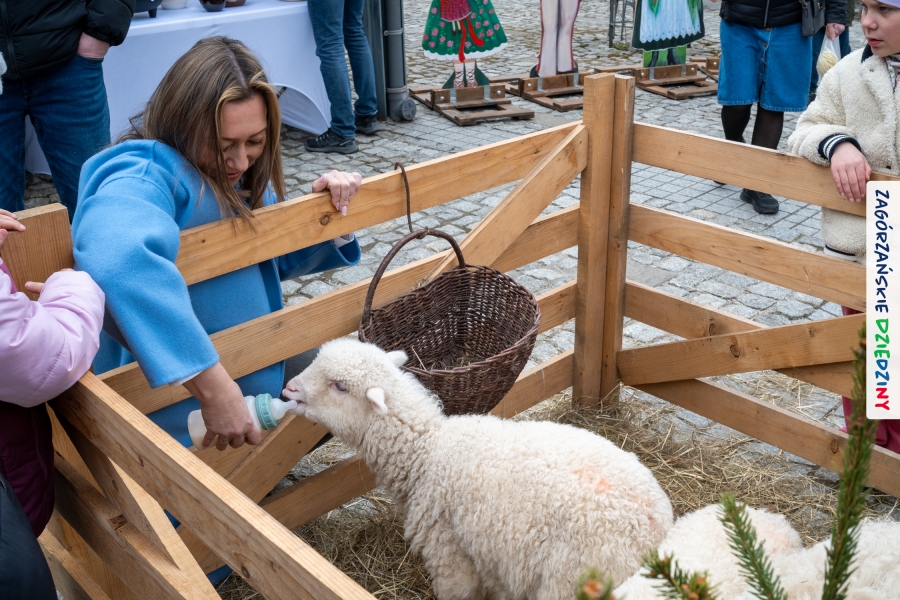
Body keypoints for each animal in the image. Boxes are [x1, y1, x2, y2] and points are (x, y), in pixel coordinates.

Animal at [283, 339, 674, 600]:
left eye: (340, 386)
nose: (289, 388)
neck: (427, 453)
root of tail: (655, 533)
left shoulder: (451, 556)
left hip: (571, 581)